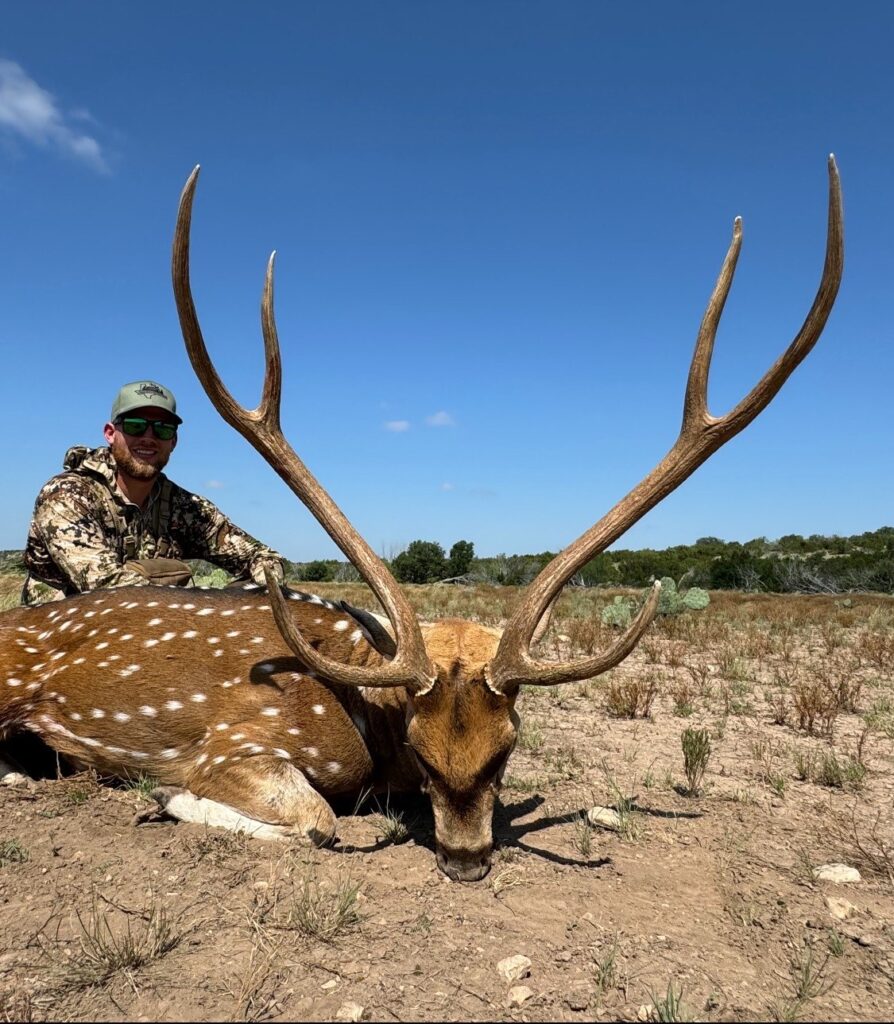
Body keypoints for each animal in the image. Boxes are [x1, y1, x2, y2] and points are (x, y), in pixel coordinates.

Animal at [0, 159, 843, 881]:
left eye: (507, 751)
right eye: (420, 747)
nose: (466, 859)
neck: (363, 700)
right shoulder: (235, 741)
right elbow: (315, 820)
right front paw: (165, 797)